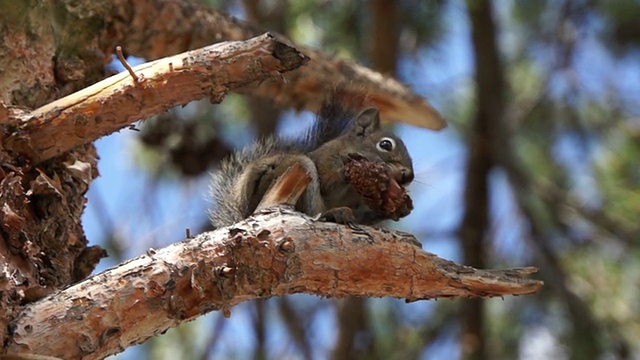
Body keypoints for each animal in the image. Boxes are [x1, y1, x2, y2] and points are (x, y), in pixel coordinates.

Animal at [208, 97, 412, 228]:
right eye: (385, 144)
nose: (408, 176)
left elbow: (363, 217)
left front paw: (400, 207)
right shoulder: (326, 160)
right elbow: (328, 183)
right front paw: (352, 169)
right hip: (299, 169)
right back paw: (332, 214)